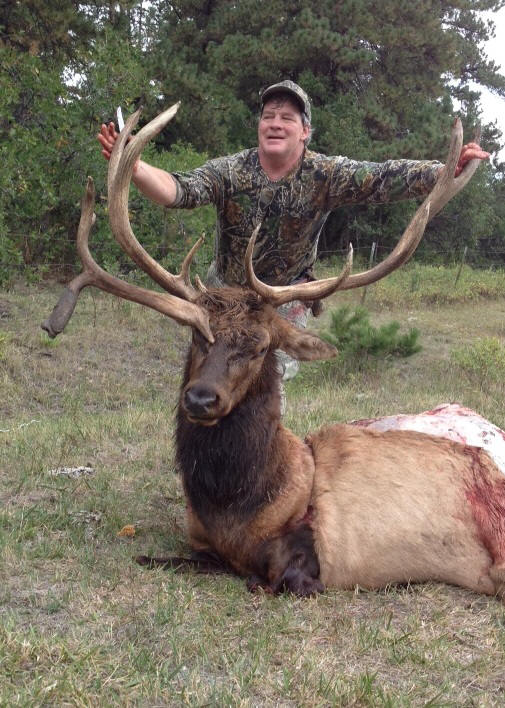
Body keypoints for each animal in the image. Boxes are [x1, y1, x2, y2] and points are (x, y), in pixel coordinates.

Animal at [42, 105, 505, 601]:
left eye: (261, 345)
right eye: (196, 335)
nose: (201, 398)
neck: (234, 509)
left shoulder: (308, 562)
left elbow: (260, 580)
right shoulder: (198, 543)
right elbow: (161, 559)